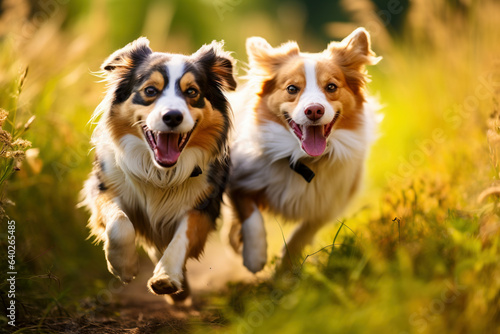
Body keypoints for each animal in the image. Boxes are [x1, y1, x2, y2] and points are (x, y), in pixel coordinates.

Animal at [229, 28, 380, 274]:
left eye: (331, 87)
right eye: (292, 88)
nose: (314, 110)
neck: (304, 160)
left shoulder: (330, 202)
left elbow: (302, 234)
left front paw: (285, 270)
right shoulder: (239, 181)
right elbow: (252, 217)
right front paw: (254, 257)